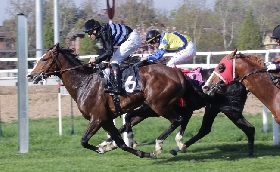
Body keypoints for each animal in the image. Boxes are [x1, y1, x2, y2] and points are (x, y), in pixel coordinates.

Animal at [27, 43, 192, 159]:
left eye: (44, 58)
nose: (31, 75)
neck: (84, 83)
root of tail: (178, 74)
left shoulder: (97, 118)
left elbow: (83, 141)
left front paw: (101, 148)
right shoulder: (106, 119)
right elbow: (120, 143)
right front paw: (142, 153)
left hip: (158, 105)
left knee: (177, 119)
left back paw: (160, 144)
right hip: (161, 105)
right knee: (181, 117)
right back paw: (179, 143)